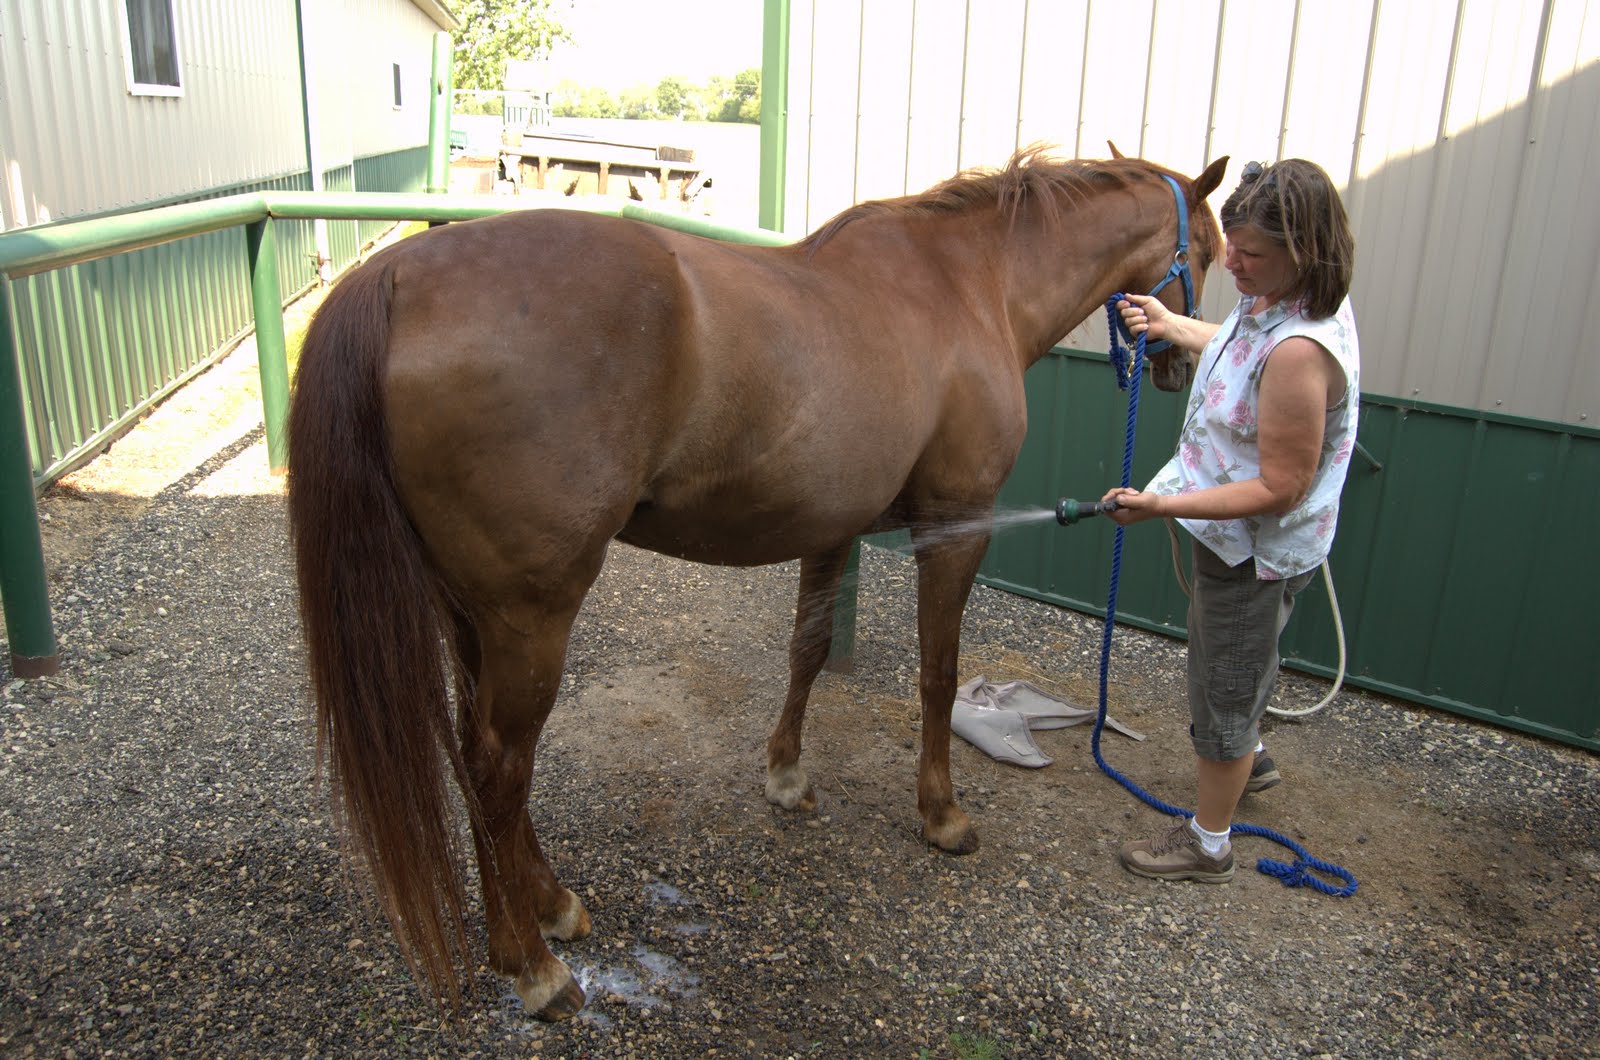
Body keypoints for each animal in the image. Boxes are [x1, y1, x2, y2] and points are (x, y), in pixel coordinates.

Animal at [285, 147, 1228, 1020]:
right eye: (1215, 253)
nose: (1184, 367)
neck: (969, 285)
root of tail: (398, 276)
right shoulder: (956, 524)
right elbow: (938, 674)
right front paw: (942, 815)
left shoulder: (832, 530)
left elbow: (808, 649)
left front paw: (785, 777)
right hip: (532, 614)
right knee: (496, 766)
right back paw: (532, 967)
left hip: (470, 613)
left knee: (477, 758)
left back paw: (553, 906)